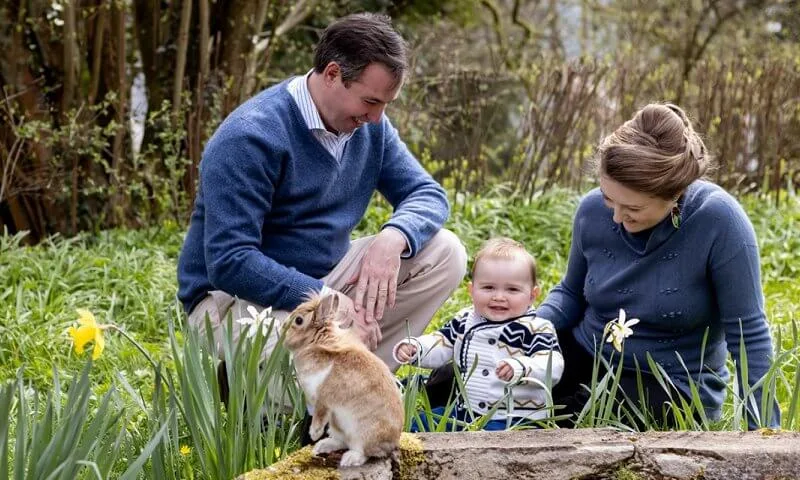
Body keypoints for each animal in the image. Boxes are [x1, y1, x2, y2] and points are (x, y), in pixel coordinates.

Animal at [282, 290, 406, 466]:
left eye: (298, 320)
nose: (282, 329)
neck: (316, 342)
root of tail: (392, 444)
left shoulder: (324, 399)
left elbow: (319, 415)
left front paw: (313, 433)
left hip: (362, 433)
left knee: (364, 452)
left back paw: (349, 459)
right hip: (337, 425)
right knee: (342, 442)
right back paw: (322, 447)